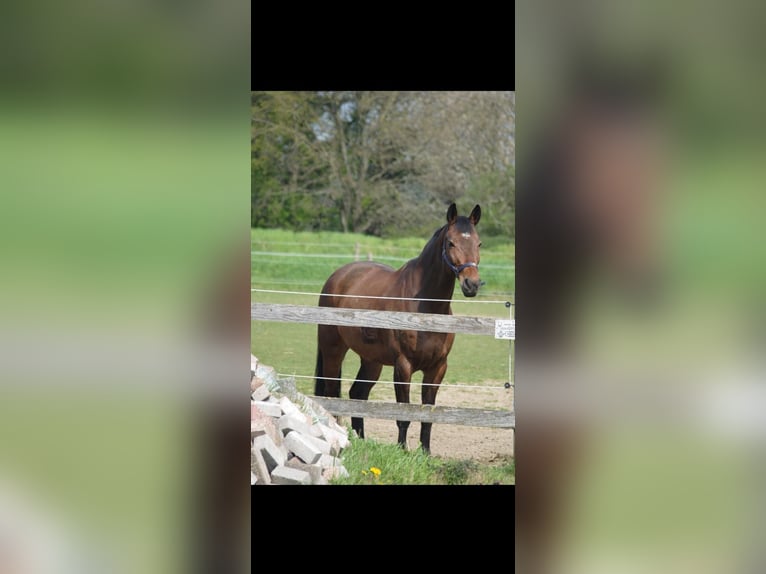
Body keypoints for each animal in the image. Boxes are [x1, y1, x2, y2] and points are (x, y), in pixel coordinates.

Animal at [313, 203, 482, 454]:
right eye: (451, 242)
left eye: (478, 243)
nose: (472, 284)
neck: (426, 308)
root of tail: (337, 276)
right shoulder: (403, 366)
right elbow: (403, 413)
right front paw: (403, 451)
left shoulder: (437, 368)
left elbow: (428, 414)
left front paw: (425, 453)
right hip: (333, 351)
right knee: (333, 394)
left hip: (371, 361)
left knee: (357, 394)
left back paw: (360, 439)